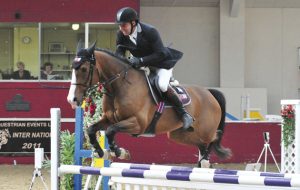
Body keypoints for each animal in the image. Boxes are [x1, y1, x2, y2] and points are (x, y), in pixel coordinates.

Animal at [67, 42, 232, 166]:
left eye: (84, 69)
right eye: (72, 69)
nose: (72, 99)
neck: (120, 86)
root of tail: (209, 93)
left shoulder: (138, 124)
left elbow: (110, 131)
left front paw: (119, 152)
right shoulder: (109, 119)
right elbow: (91, 129)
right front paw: (101, 152)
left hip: (205, 130)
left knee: (214, 138)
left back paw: (205, 159)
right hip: (179, 135)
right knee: (201, 144)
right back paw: (203, 161)